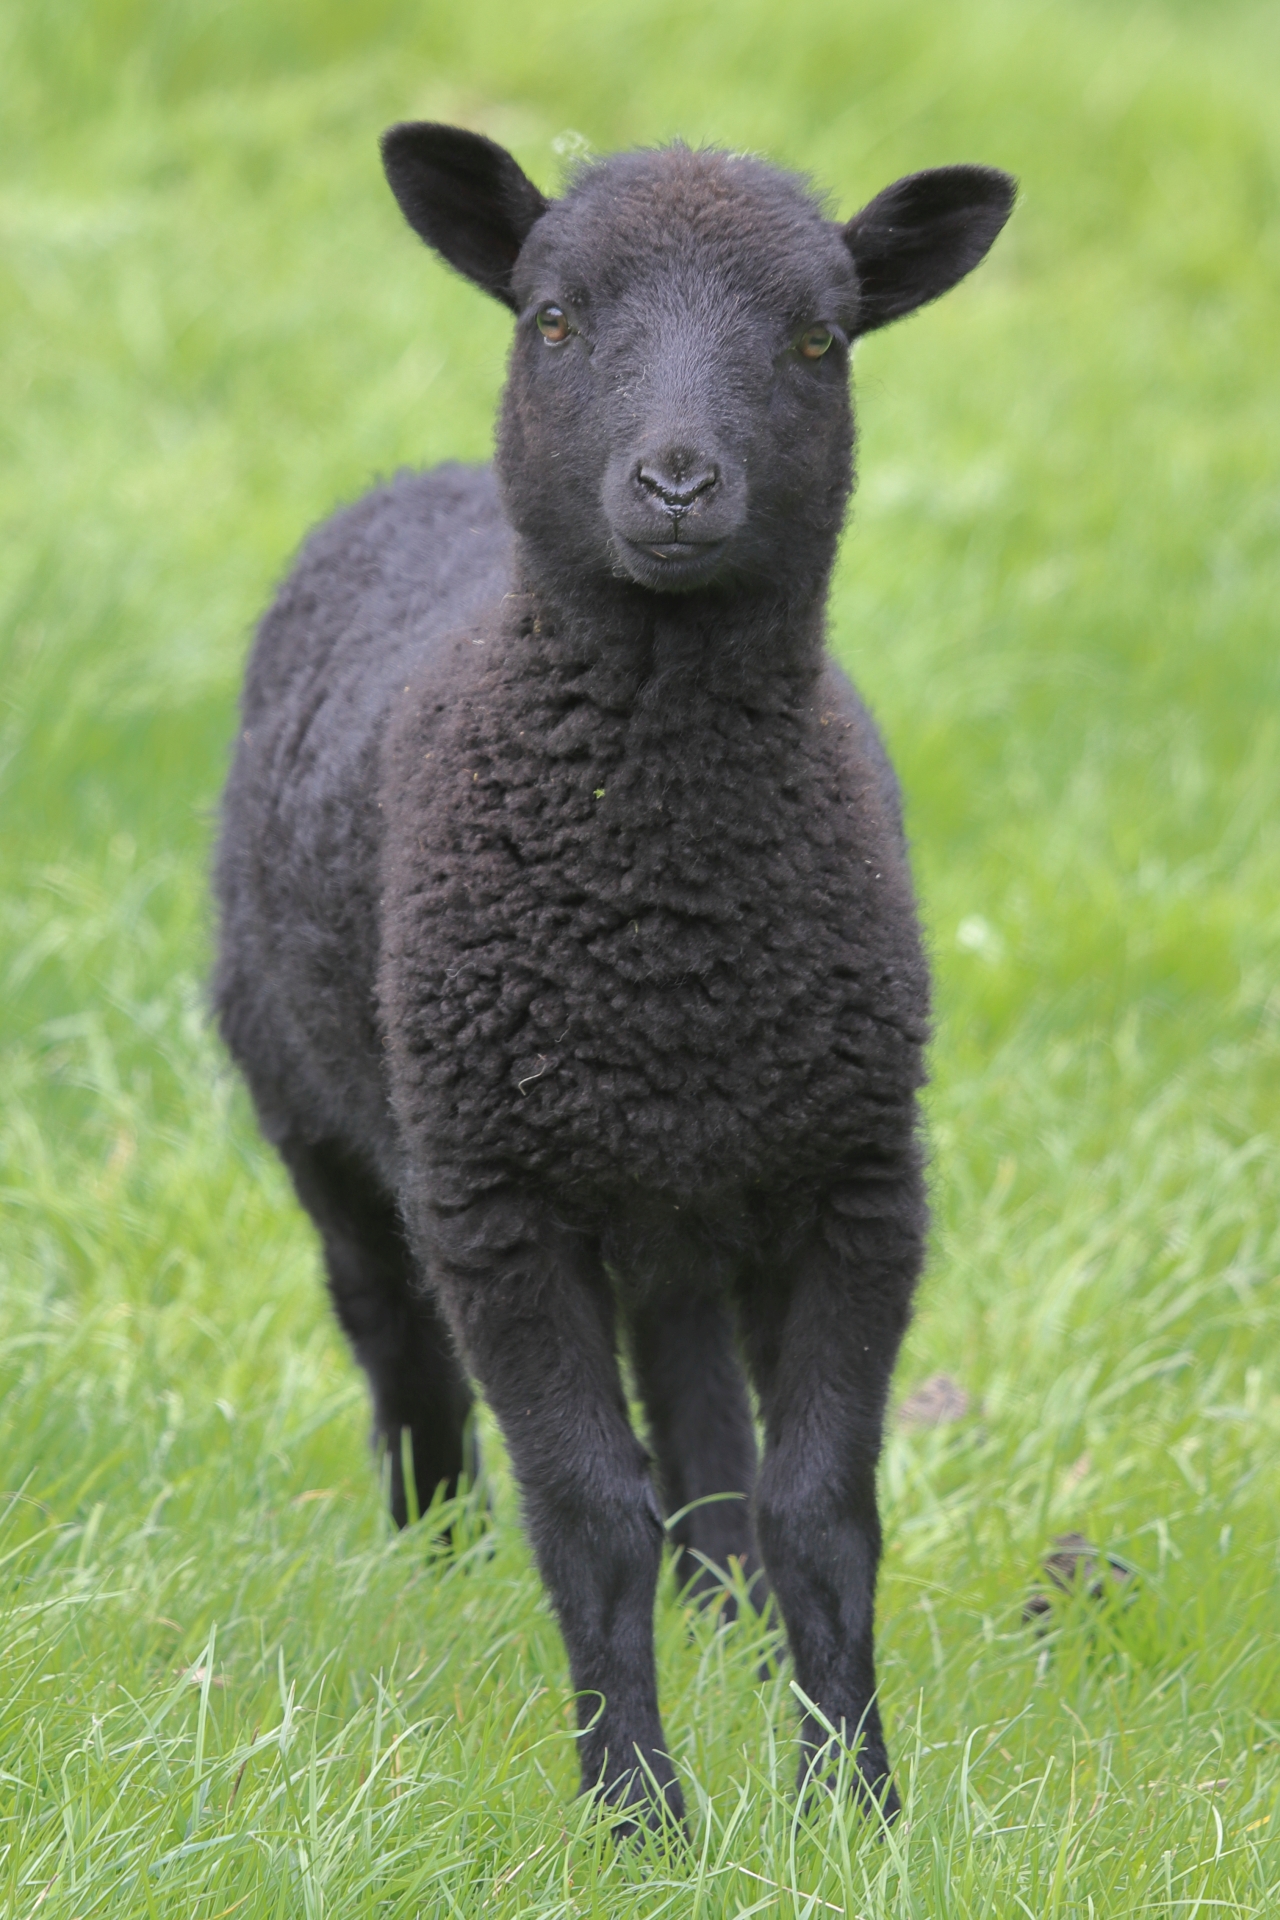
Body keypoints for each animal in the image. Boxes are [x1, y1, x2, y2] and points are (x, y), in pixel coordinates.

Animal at [214, 123, 1013, 1827]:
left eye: (820, 340)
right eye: (554, 319)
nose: (676, 483)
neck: (668, 917)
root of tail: (424, 483)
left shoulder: (858, 1185)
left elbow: (821, 1505)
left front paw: (851, 1803)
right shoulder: (497, 1201)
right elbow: (587, 1513)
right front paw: (639, 1814)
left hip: (684, 1195)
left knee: (697, 1405)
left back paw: (730, 1614)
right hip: (322, 1115)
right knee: (396, 1340)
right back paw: (437, 1566)